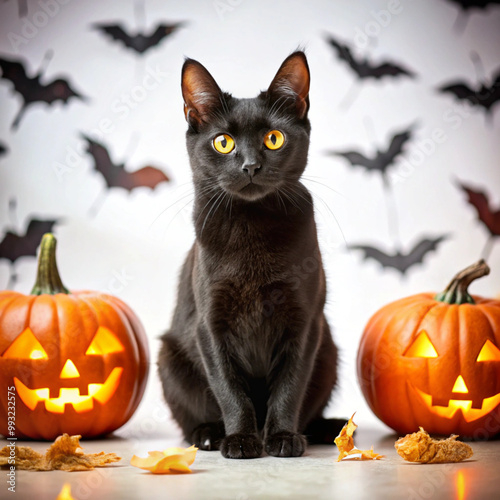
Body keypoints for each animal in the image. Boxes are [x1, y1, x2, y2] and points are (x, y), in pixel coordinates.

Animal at [158, 50, 342, 458]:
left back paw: (324, 428)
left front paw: (283, 437)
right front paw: (241, 439)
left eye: (273, 139)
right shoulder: (209, 325)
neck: (252, 227)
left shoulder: (305, 322)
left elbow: (290, 386)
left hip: (330, 352)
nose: (251, 166)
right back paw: (208, 434)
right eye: (223, 143)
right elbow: (229, 389)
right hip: (168, 357)